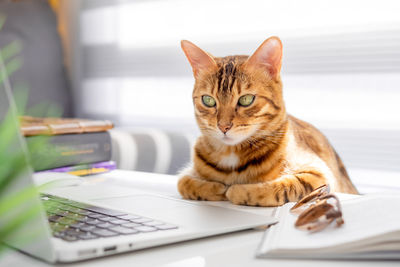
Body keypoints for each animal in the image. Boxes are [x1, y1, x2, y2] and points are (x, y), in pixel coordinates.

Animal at [177, 36, 358, 207]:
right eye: (208, 100)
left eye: (246, 99)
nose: (223, 126)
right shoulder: (187, 174)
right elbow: (183, 183)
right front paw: (216, 188)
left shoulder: (321, 174)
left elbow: (284, 187)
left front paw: (238, 191)